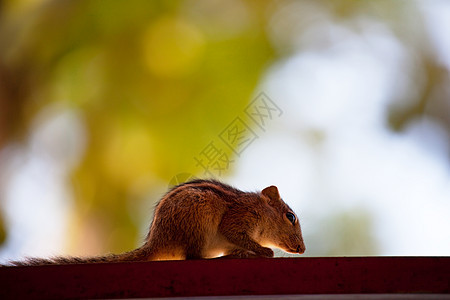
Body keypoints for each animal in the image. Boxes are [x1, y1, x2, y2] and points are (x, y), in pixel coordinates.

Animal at [5, 179, 304, 266]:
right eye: (290, 217)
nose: (302, 248)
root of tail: (156, 242)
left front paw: (250, 251)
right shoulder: (238, 219)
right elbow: (238, 235)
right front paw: (264, 250)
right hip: (199, 222)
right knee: (193, 257)